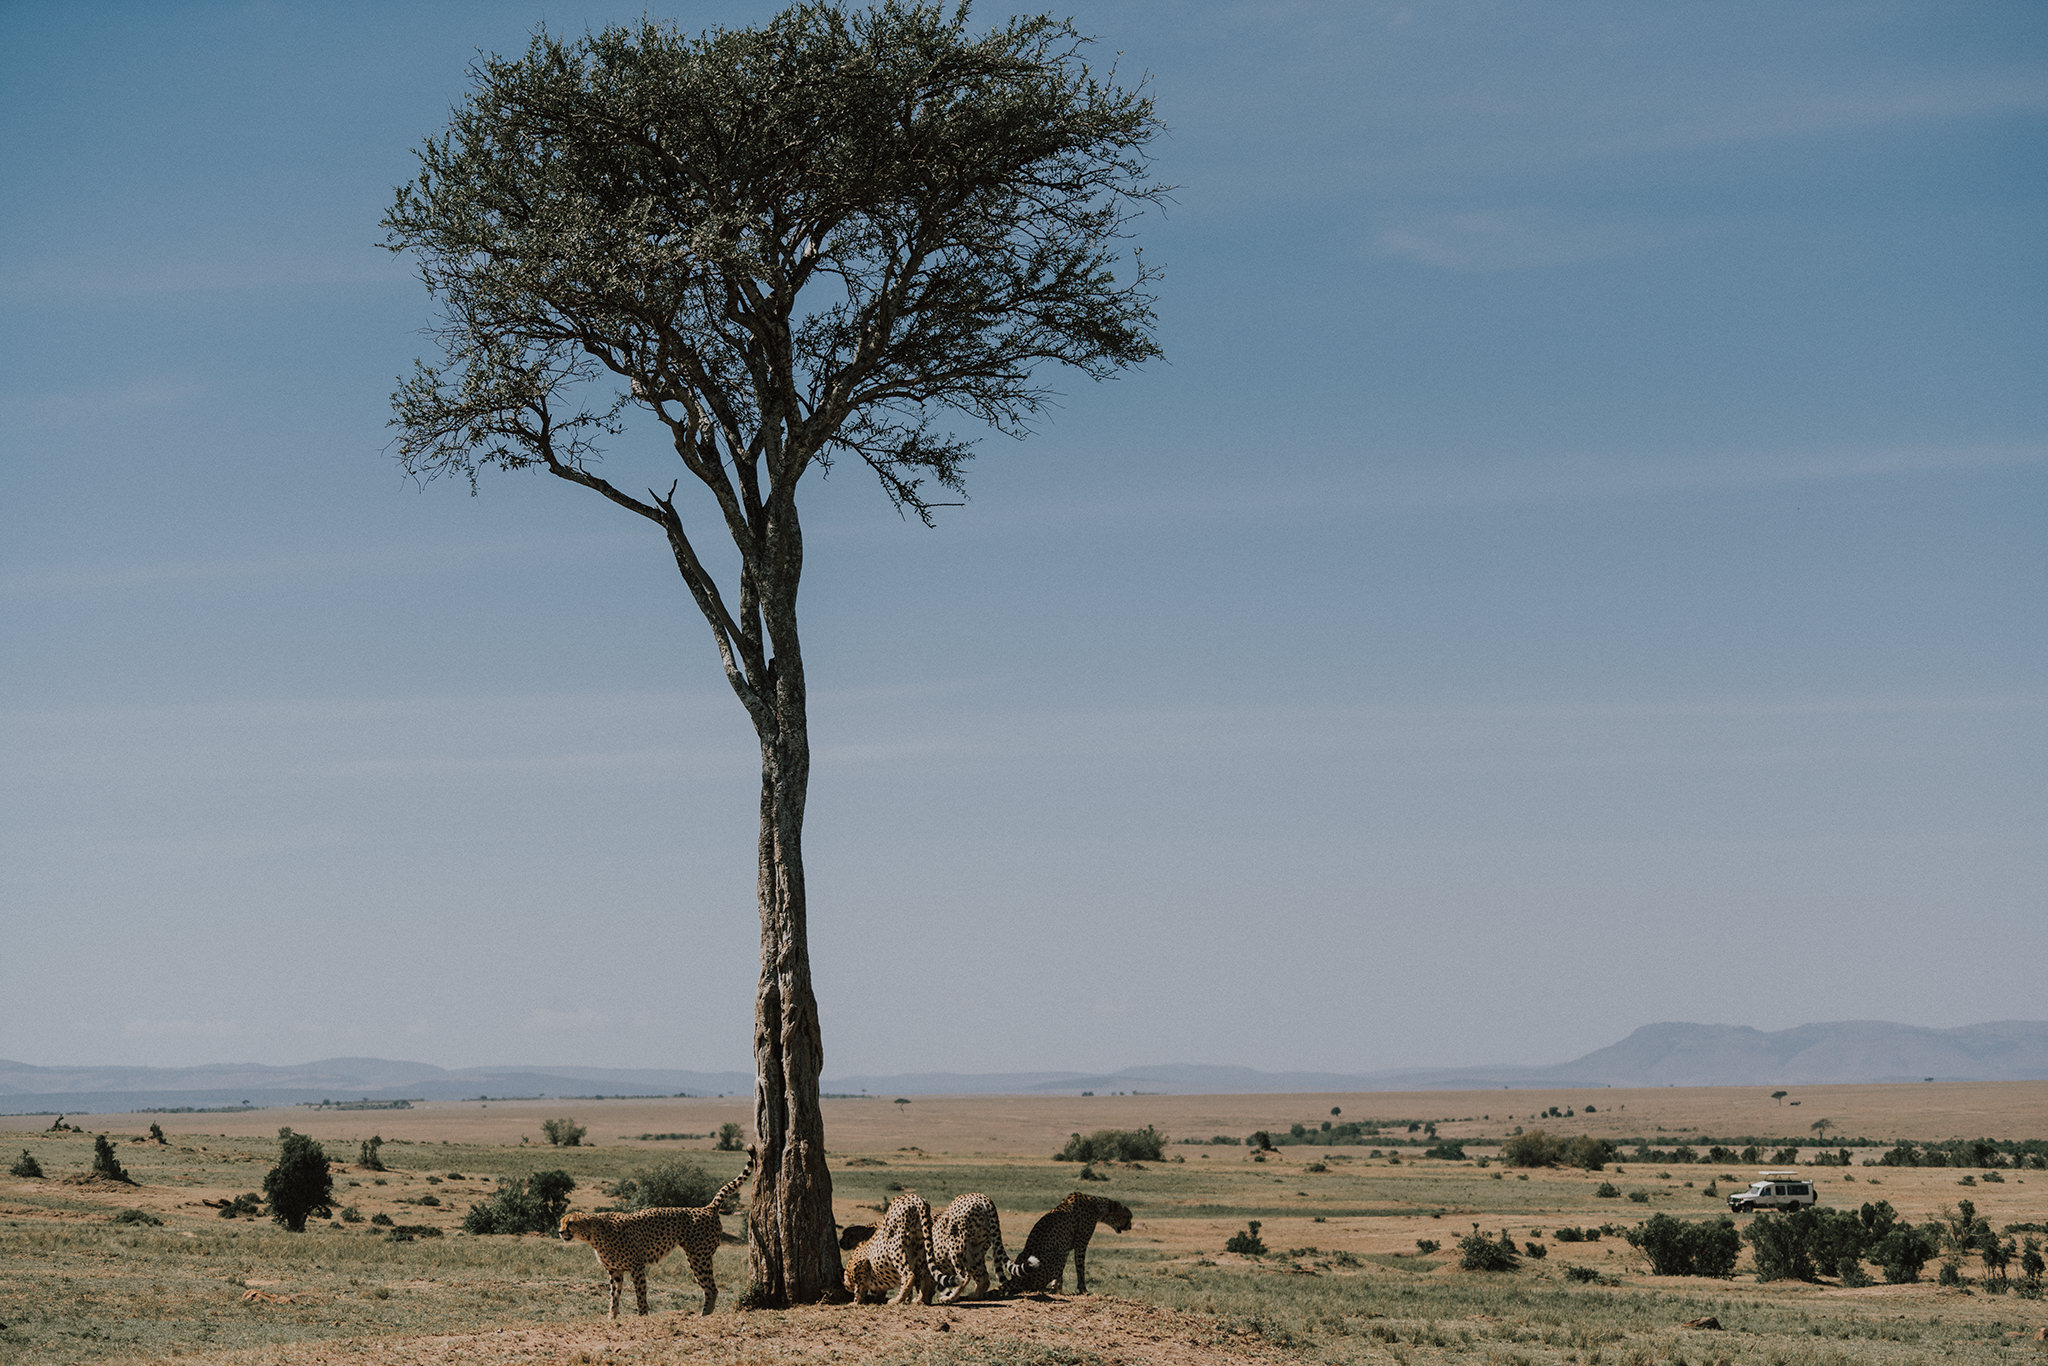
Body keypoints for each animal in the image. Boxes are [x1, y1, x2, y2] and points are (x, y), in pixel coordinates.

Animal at [557, 1145, 753, 1318]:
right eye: (561, 1222)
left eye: (570, 1224)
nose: (560, 1232)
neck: (593, 1235)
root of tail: (707, 1208)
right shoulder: (615, 1271)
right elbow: (614, 1296)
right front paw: (611, 1317)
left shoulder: (637, 1266)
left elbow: (640, 1294)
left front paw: (642, 1316)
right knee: (710, 1287)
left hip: (698, 1256)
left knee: (712, 1288)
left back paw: (704, 1314)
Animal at [1003, 1191, 1132, 1295]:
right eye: (1127, 1216)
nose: (1130, 1227)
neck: (1096, 1206)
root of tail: (1016, 1279)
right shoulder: (1080, 1245)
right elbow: (1080, 1268)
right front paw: (1082, 1289)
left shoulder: (1068, 1246)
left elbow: (1061, 1275)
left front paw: (1057, 1288)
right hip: (1059, 1255)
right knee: (1034, 1286)